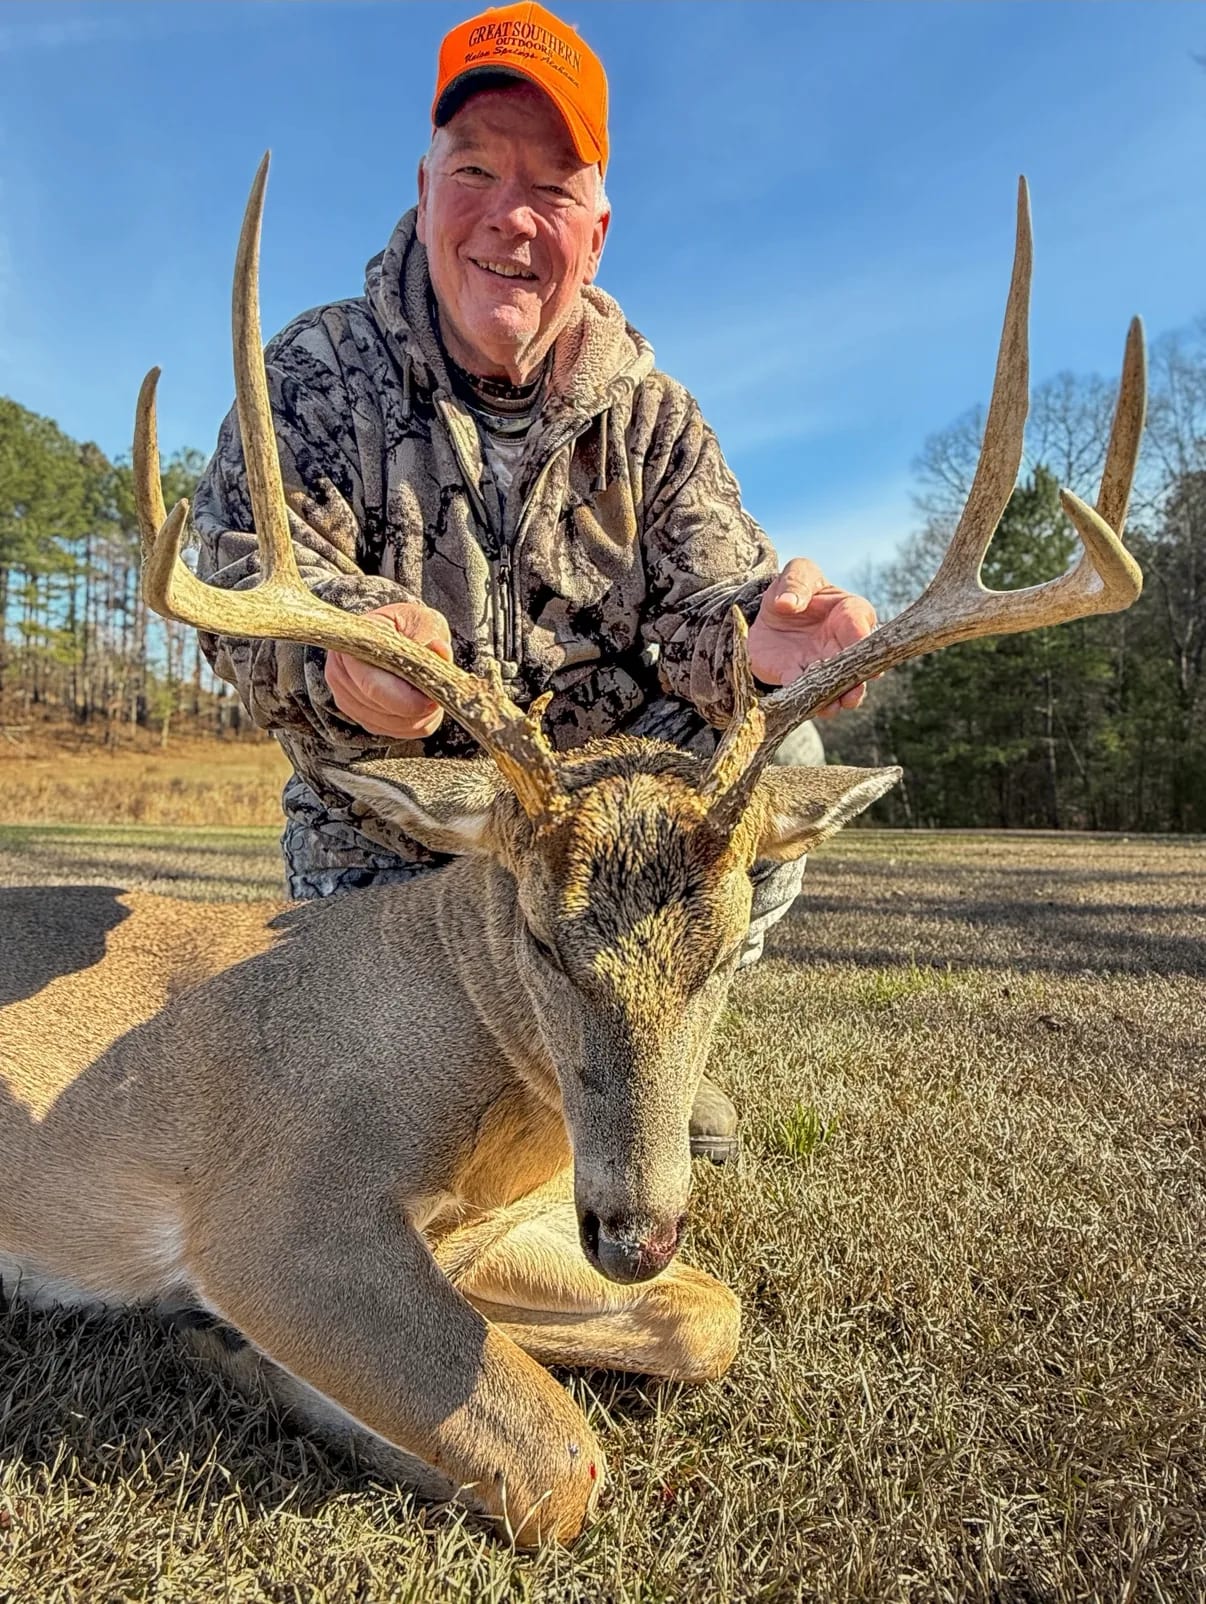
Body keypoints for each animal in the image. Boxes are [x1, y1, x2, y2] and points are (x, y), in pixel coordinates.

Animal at [0, 157, 1145, 1546]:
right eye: (543, 940)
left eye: (728, 953)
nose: (636, 1231)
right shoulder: (277, 1207)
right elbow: (557, 1460)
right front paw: (244, 1358)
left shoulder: (499, 1225)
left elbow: (711, 1313)